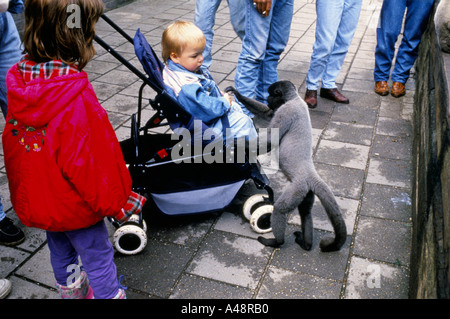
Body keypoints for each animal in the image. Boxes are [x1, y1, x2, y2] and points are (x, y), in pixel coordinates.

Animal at [227, 80, 346, 252]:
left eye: (271, 94)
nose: (267, 98)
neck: (294, 98)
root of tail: (310, 173)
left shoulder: (285, 110)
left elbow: (270, 140)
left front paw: (238, 143)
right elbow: (267, 113)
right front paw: (237, 93)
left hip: (297, 188)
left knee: (280, 209)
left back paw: (276, 242)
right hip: (306, 191)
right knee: (305, 212)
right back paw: (306, 244)